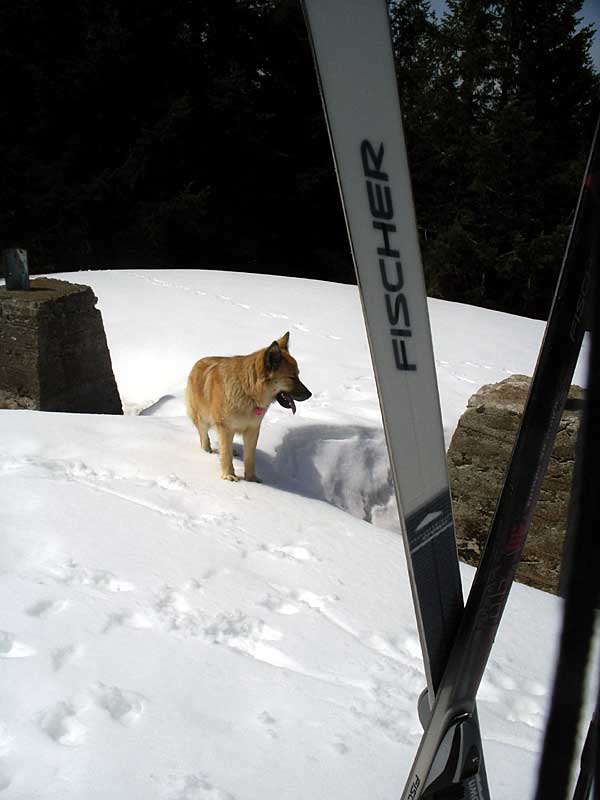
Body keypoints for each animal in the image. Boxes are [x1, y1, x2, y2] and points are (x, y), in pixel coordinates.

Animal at [186, 332, 310, 482]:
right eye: (292, 377)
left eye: (298, 375)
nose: (310, 394)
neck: (248, 391)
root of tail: (199, 362)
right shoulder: (225, 427)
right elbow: (225, 454)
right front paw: (229, 475)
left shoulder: (252, 430)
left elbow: (250, 457)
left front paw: (251, 479)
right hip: (202, 419)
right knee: (204, 437)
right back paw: (207, 451)